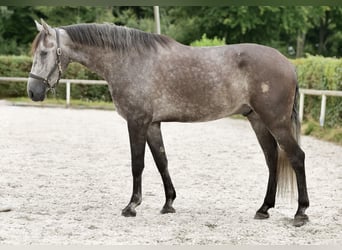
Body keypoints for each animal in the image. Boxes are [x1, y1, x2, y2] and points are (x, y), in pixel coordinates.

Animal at [27, 19, 310, 227]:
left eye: (44, 52)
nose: (32, 91)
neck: (129, 61)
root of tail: (290, 65)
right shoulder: (153, 124)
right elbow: (161, 161)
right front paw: (168, 204)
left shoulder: (137, 122)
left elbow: (138, 164)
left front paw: (132, 206)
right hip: (258, 120)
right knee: (272, 159)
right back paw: (264, 208)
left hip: (276, 122)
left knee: (296, 157)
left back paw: (300, 213)